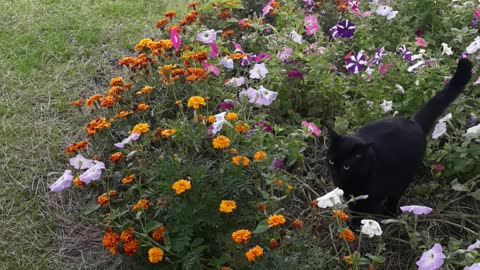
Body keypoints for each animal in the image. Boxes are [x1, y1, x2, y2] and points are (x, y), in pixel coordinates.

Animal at [326, 58, 472, 217]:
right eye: (332, 162)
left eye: (346, 166)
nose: (334, 174)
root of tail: (413, 121)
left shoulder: (369, 199)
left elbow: (362, 215)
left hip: (404, 177)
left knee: (395, 196)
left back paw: (390, 213)